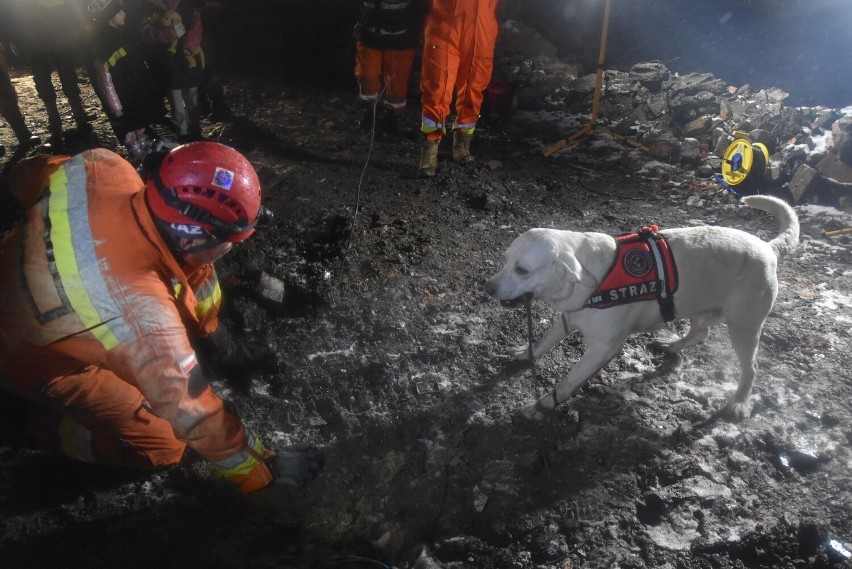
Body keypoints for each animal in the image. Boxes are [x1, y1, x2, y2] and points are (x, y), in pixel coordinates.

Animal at [486, 196, 800, 422]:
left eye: (522, 270)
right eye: (505, 259)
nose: (487, 288)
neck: (590, 283)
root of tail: (769, 248)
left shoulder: (602, 348)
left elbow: (567, 382)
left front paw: (541, 405)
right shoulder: (569, 316)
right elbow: (545, 341)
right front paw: (527, 352)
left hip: (744, 326)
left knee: (751, 368)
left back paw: (739, 402)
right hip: (697, 304)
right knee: (700, 334)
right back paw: (672, 345)